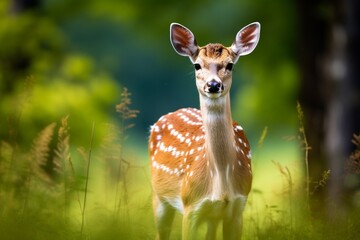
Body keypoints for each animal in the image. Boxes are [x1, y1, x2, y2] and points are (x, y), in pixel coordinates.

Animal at [148, 21, 260, 239]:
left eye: (230, 65)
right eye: (197, 65)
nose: (214, 84)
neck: (220, 182)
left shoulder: (237, 207)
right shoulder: (190, 204)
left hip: (212, 218)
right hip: (159, 197)